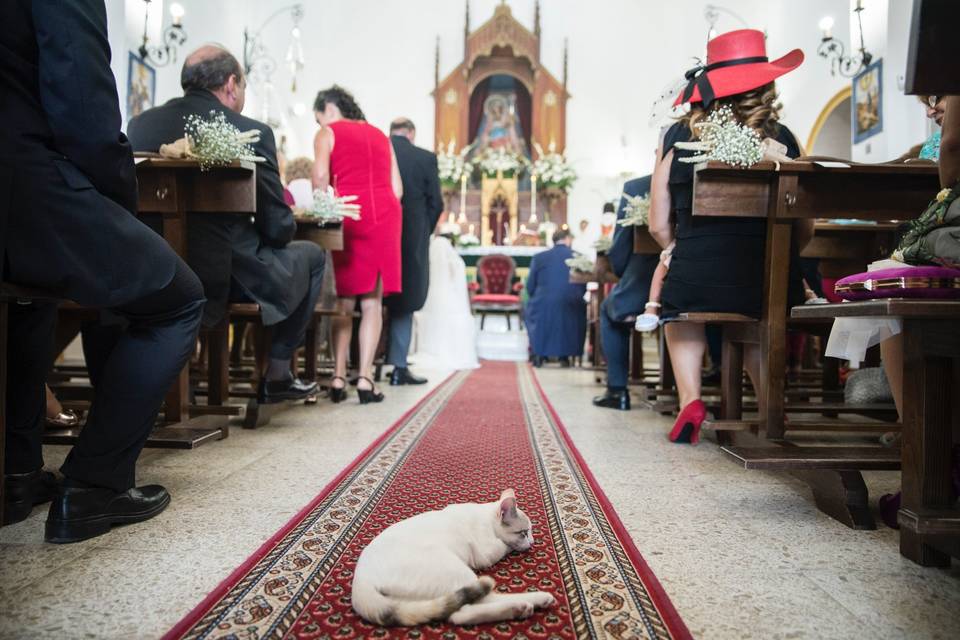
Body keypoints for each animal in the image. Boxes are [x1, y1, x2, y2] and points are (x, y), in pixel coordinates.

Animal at [350, 490, 556, 624]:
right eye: (524, 533)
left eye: (530, 532)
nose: (532, 542)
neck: (485, 517)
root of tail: (361, 581)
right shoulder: (486, 553)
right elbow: (504, 545)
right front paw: (513, 545)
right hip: (453, 570)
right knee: (474, 605)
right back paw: (530, 601)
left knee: (457, 613)